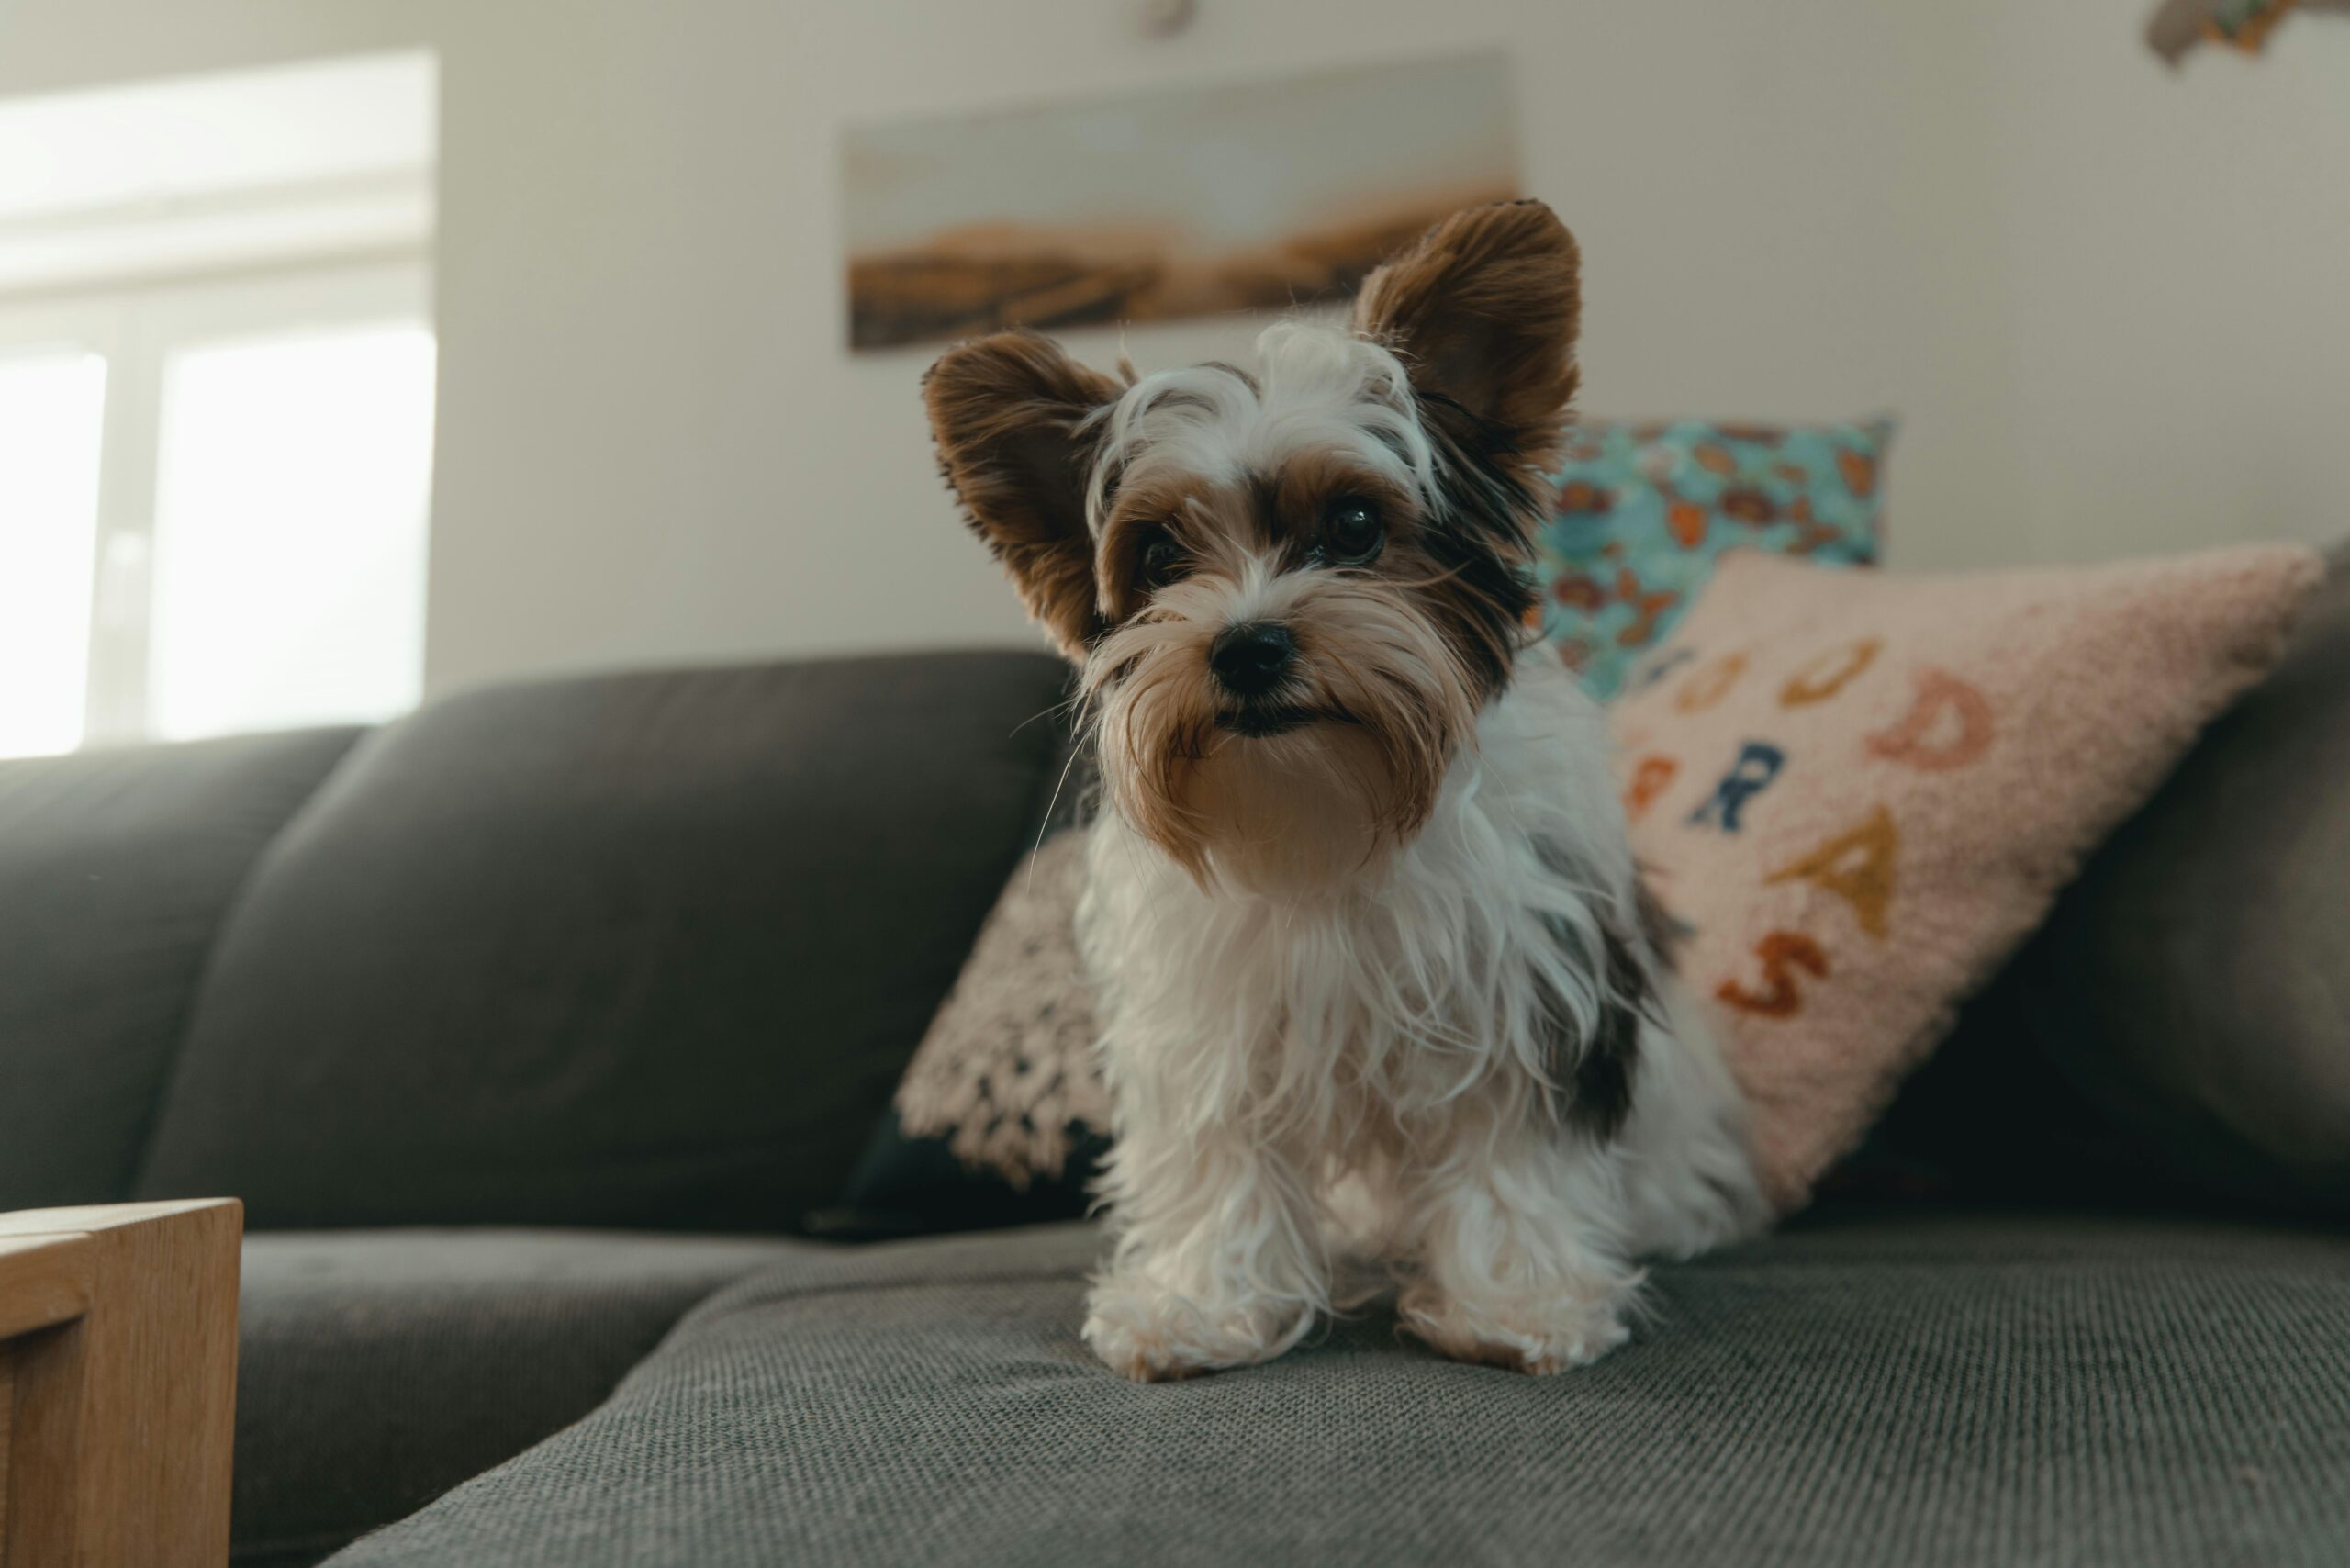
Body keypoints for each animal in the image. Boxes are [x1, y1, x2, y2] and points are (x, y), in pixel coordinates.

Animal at [916, 199, 1767, 1382]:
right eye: (1161, 555)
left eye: (1356, 528)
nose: (1246, 648)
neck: (1322, 800)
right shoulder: (1210, 1017)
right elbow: (1220, 1157)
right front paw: (1206, 1305)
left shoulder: (1520, 983)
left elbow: (1510, 1149)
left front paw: (1514, 1301)